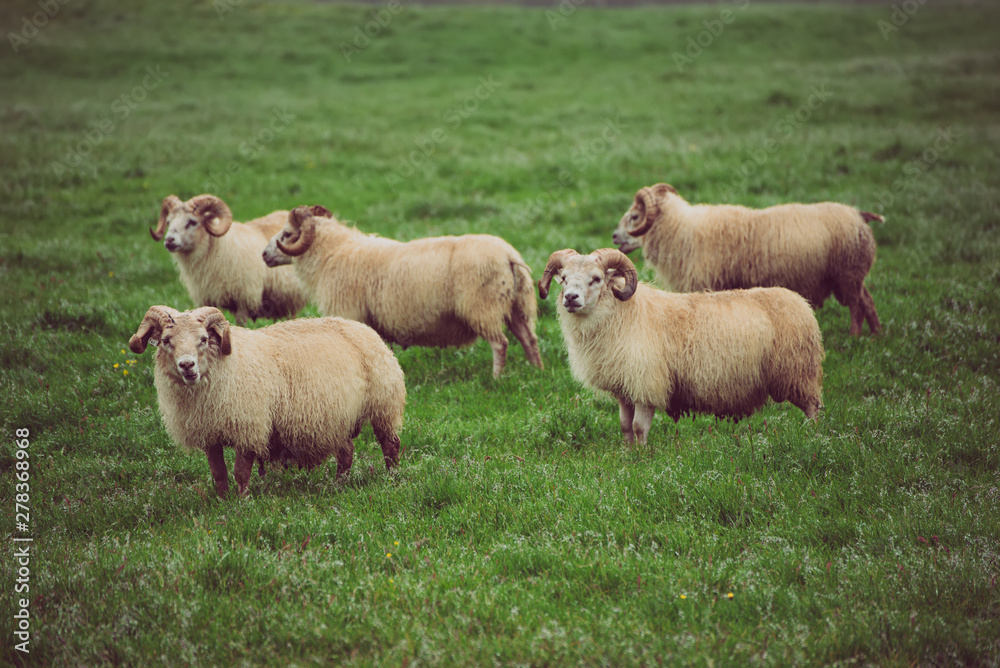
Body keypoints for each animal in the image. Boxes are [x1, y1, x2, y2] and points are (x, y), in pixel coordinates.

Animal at [129, 305, 406, 497]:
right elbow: (218, 472)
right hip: (338, 418)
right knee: (346, 452)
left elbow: (241, 471)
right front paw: (222, 501)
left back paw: (392, 479)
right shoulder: (210, 433)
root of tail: (362, 328)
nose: (187, 365)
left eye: (204, 339)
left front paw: (242, 502)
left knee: (390, 445)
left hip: (384, 405)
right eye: (166, 341)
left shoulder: (249, 426)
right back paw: (340, 484)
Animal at [261, 205, 543, 377]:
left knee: (500, 343)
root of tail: (508, 255)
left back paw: (496, 379)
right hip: (516, 306)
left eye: (287, 233)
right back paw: (536, 371)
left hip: (483, 307)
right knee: (529, 339)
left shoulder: (350, 313)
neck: (331, 254)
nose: (264, 254)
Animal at [538, 248, 825, 445]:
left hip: (798, 373)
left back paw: (814, 440)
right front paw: (627, 455)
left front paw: (642, 458)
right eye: (564, 278)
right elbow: (625, 426)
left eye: (596, 279)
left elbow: (639, 427)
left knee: (813, 408)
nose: (570, 298)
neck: (621, 314)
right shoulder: (625, 387)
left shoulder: (646, 384)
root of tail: (799, 302)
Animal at [611, 184, 883, 336]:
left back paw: (854, 336)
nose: (614, 236)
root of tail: (859, 215)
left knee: (857, 306)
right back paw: (876, 335)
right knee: (868, 301)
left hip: (847, 274)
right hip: (853, 274)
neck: (680, 231)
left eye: (634, 216)